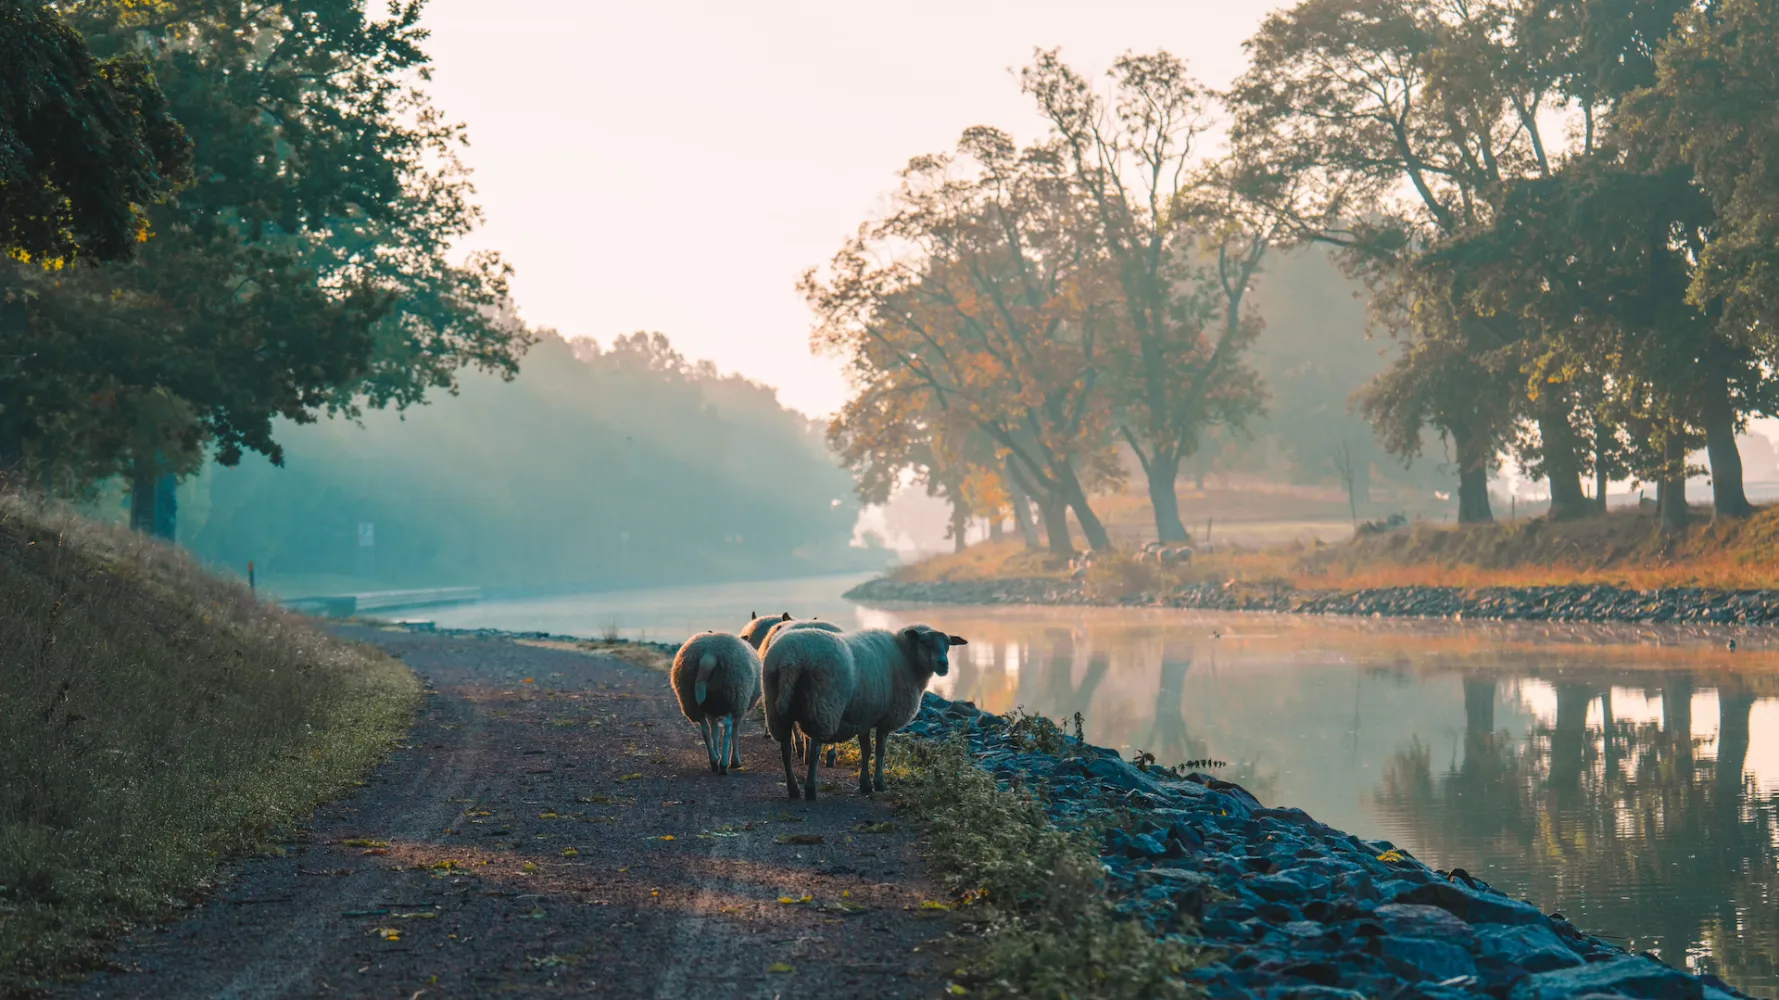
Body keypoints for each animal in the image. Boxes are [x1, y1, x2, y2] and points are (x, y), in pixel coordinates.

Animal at [665, 629, 754, 772]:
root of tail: (710, 652)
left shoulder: (712, 709)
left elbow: (714, 732)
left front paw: (717, 753)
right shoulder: (738, 709)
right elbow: (734, 732)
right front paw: (735, 761)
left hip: (692, 699)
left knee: (705, 730)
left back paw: (714, 760)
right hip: (732, 696)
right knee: (728, 730)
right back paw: (723, 765)